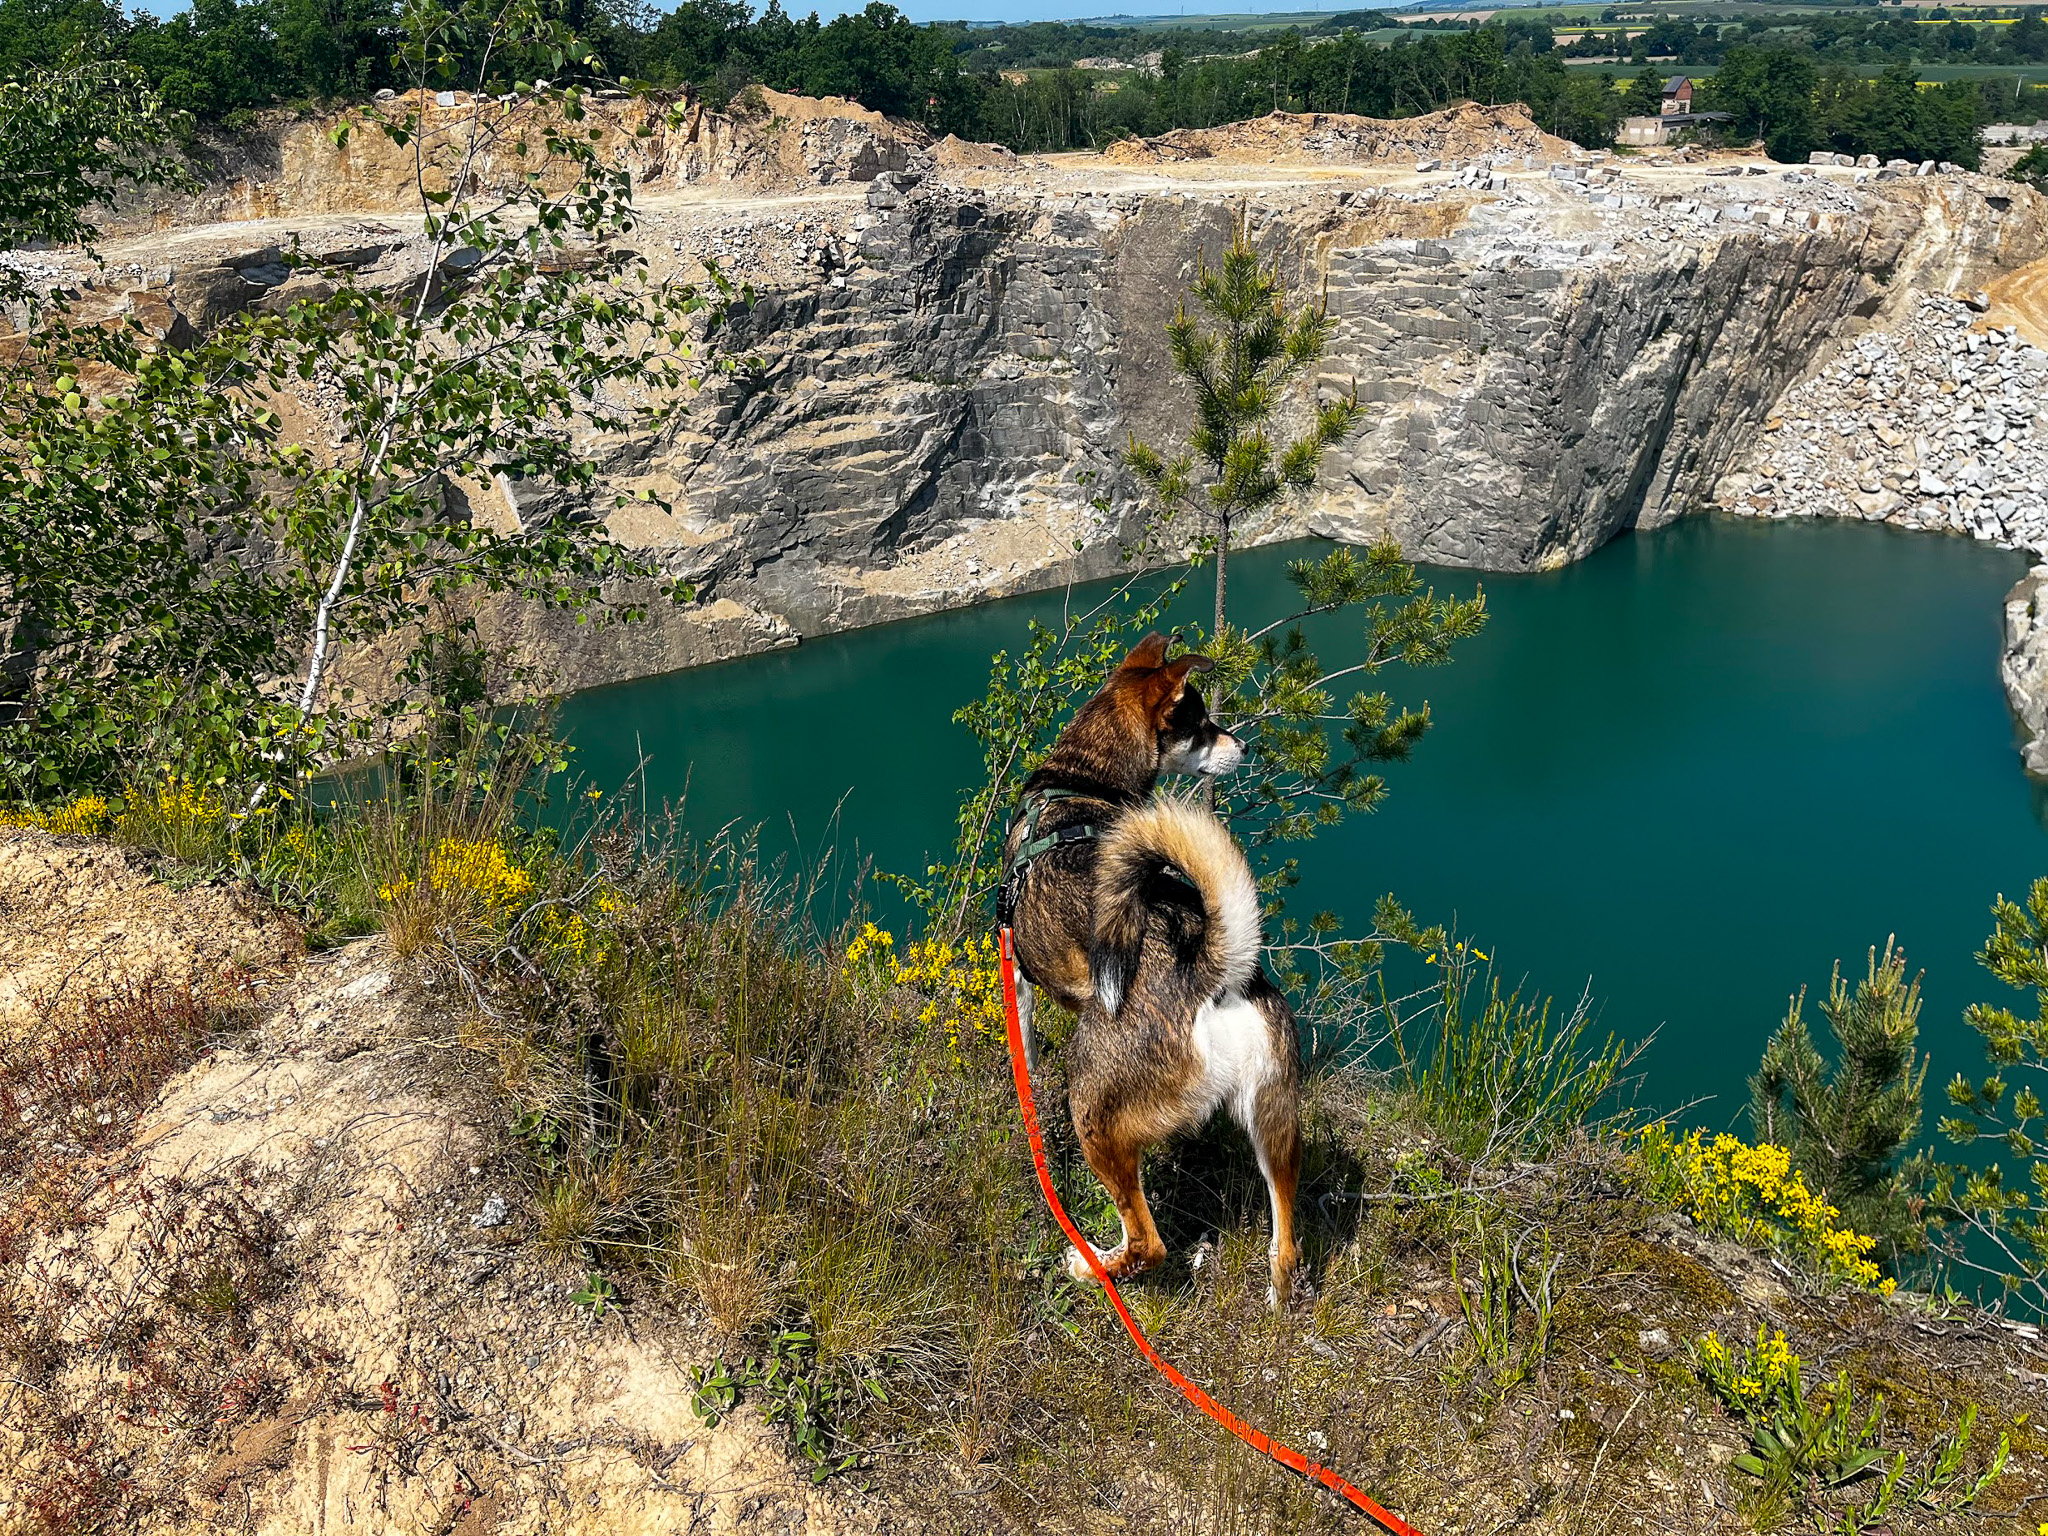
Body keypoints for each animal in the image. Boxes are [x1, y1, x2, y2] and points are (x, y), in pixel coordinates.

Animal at [999, 634, 1302, 1310]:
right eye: (1202, 723)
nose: (1243, 747)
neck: (1080, 779)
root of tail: (1211, 972)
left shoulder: (1020, 976)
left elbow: (1023, 1056)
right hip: (1274, 1120)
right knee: (1287, 1242)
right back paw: (1276, 1300)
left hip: (1094, 1109)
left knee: (1148, 1242)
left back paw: (1093, 1265)